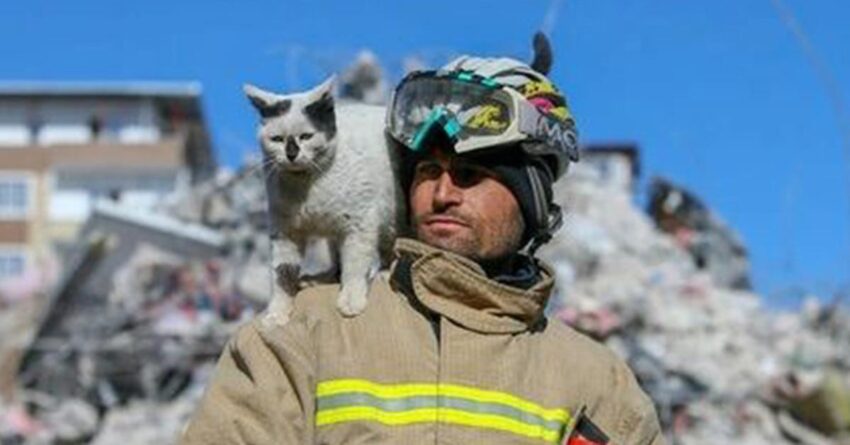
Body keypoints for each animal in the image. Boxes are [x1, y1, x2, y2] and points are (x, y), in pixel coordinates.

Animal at [242, 74, 400, 320]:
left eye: (306, 136)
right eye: (277, 139)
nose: (291, 153)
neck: (307, 190)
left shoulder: (359, 224)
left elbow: (355, 266)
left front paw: (351, 301)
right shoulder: (284, 231)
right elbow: (282, 274)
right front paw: (278, 314)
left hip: (390, 218)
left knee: (387, 248)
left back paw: (384, 272)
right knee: (336, 261)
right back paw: (318, 278)